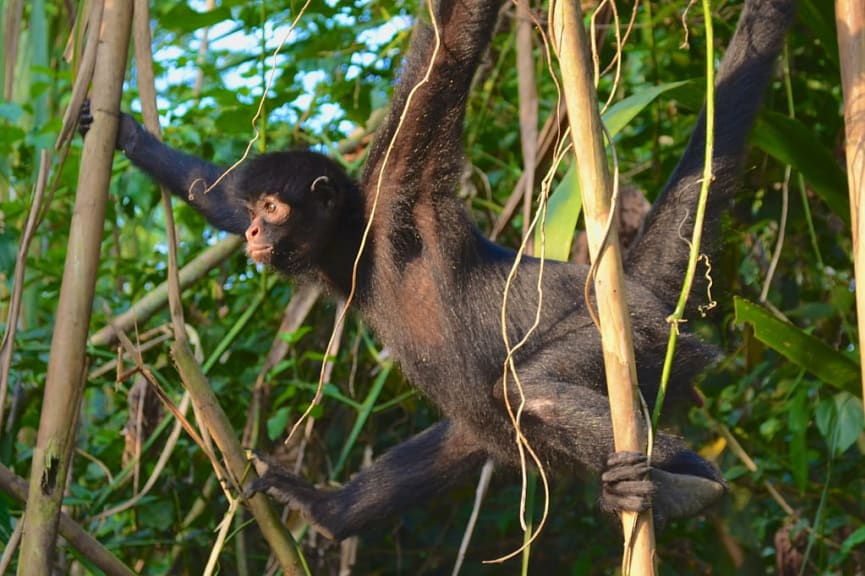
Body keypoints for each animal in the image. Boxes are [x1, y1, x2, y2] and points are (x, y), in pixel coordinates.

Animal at [81, 0, 796, 544]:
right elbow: (214, 194)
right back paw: (332, 511)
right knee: (473, 431)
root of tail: (624, 288)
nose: (258, 232)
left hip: (639, 337)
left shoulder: (401, 181)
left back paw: (688, 483)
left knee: (526, 391)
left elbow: (448, 47)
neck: (363, 253)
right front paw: (124, 132)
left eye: (274, 209)